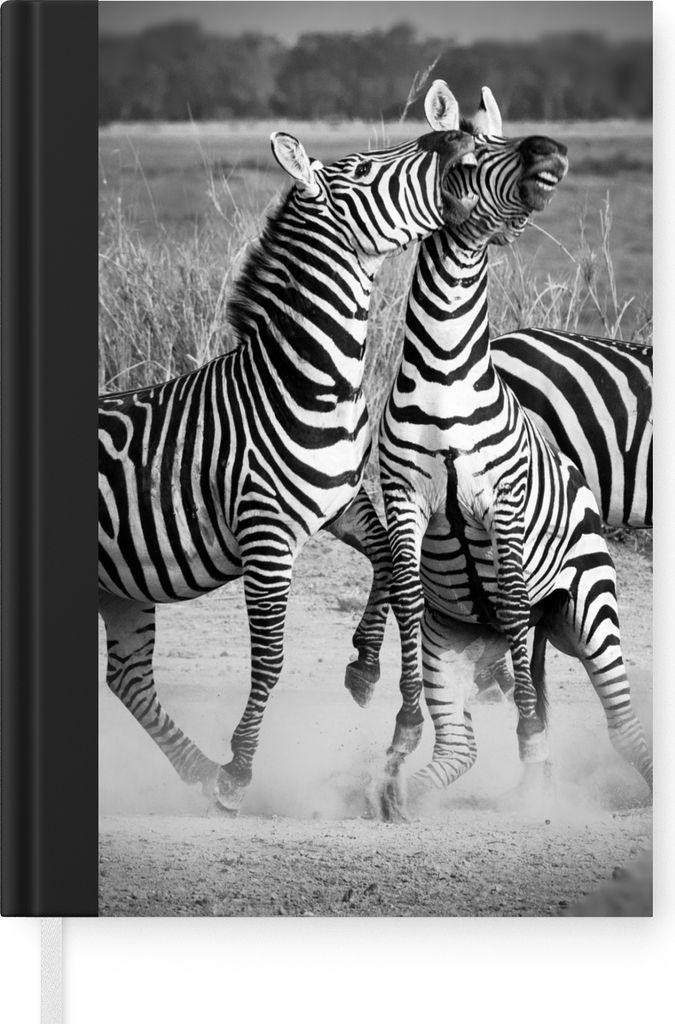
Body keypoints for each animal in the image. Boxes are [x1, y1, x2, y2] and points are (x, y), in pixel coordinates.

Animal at [99, 124, 478, 813]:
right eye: (363, 169)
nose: (454, 134)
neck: (309, 383)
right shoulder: (266, 532)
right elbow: (271, 657)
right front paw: (243, 766)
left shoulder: (340, 503)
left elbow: (395, 573)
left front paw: (370, 675)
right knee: (131, 677)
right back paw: (215, 772)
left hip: (118, 585)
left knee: (128, 677)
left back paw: (199, 769)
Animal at [375, 80, 652, 818]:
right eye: (470, 156)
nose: (549, 151)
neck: (446, 371)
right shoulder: (406, 503)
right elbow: (405, 602)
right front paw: (400, 732)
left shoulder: (502, 503)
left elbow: (517, 615)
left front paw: (530, 745)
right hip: (452, 643)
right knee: (458, 746)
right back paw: (403, 789)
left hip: (589, 610)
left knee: (620, 722)